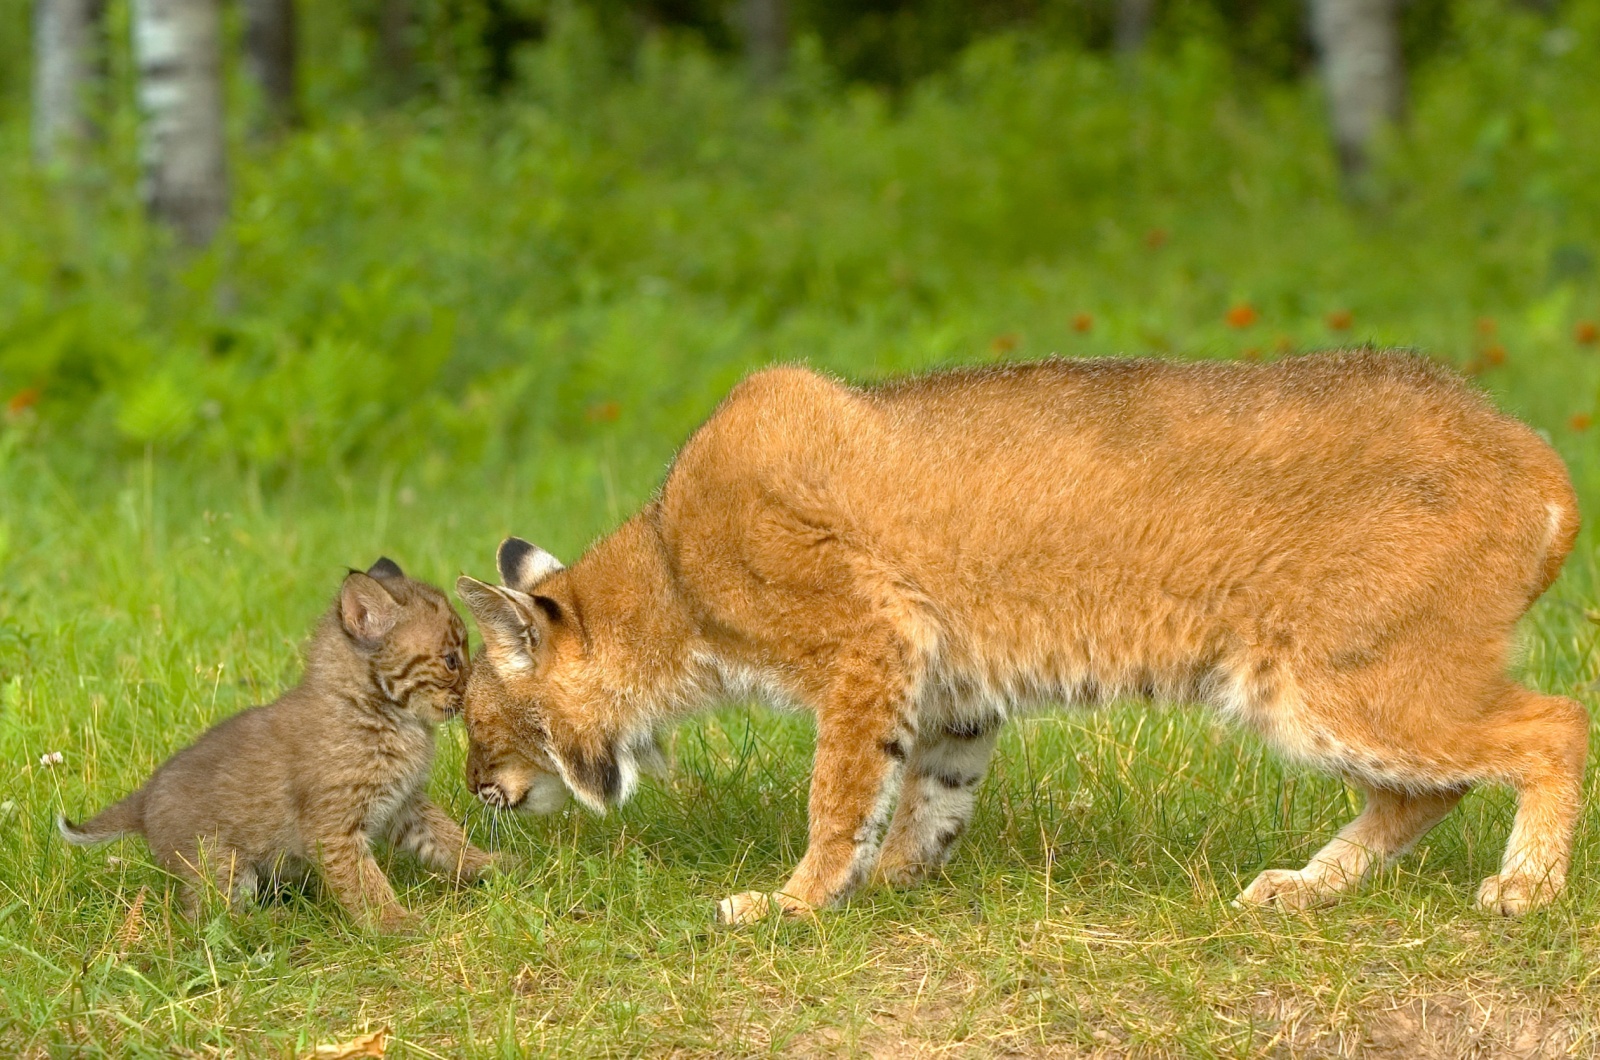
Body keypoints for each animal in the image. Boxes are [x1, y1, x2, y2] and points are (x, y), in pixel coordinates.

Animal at [59, 560, 492, 935]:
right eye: (451, 660)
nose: (472, 689)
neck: (387, 713)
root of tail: (145, 796)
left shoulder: (404, 803)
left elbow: (446, 837)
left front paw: (493, 866)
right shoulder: (333, 827)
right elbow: (363, 880)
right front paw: (394, 924)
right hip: (221, 862)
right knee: (206, 920)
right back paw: (277, 923)